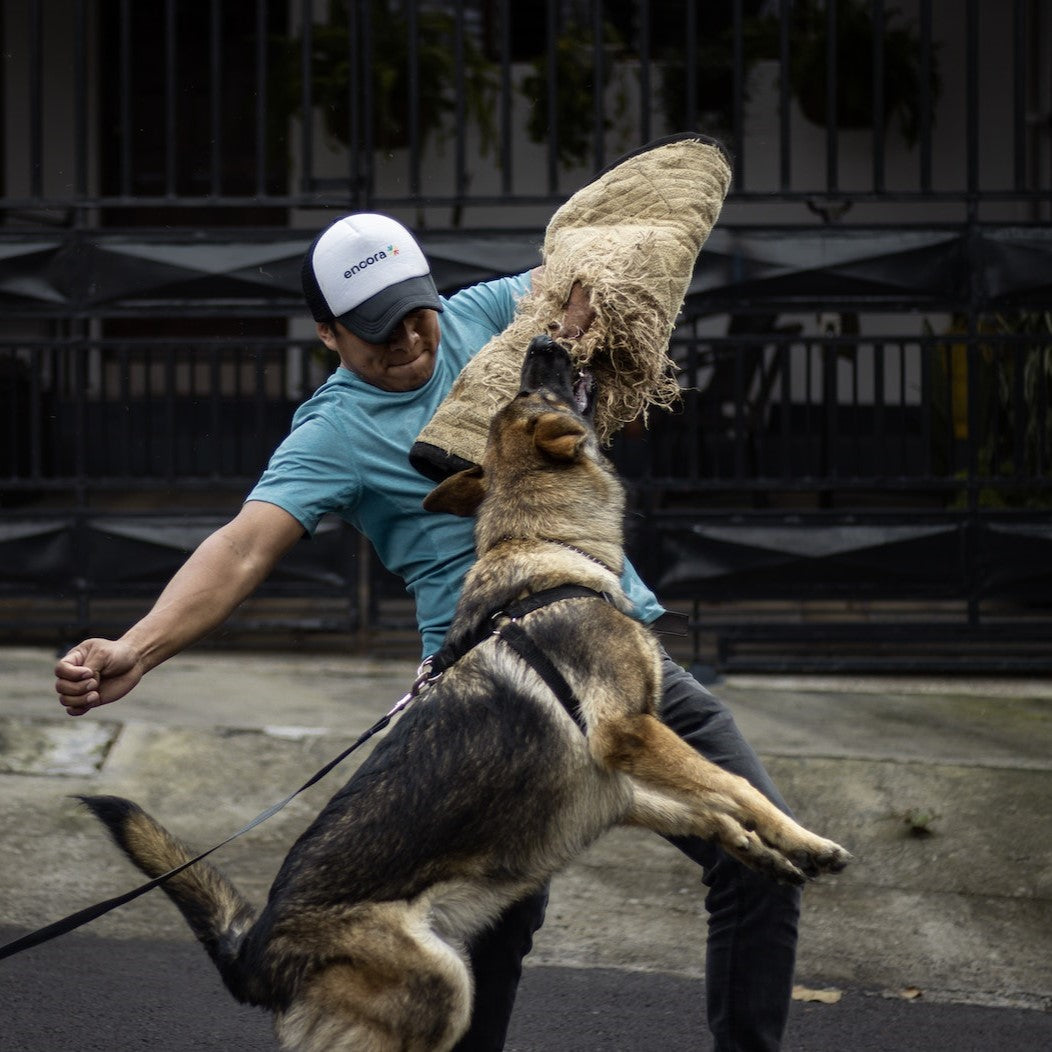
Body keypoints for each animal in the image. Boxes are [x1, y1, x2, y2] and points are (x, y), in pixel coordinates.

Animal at [86, 338, 850, 1052]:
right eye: (535, 389)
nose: (544, 340)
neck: (541, 543)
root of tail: (254, 954)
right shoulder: (626, 734)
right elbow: (735, 787)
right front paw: (808, 838)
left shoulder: (614, 788)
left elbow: (709, 806)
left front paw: (765, 851)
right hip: (445, 984)